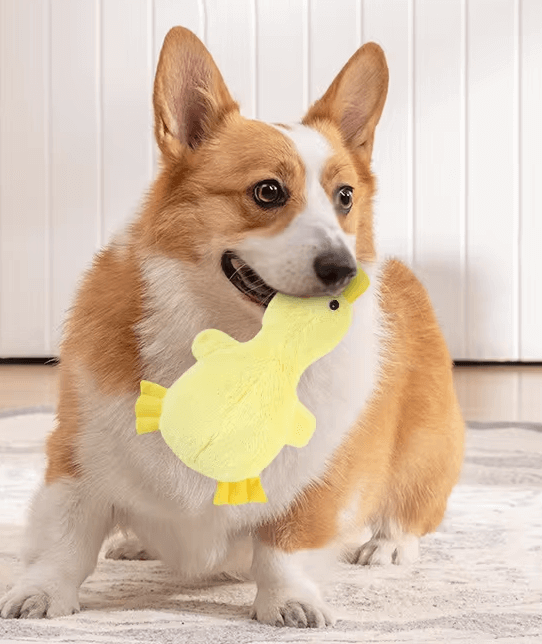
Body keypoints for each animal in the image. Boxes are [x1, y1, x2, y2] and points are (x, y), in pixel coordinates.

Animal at [1, 27, 468, 628]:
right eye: (268, 191)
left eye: (344, 197)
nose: (344, 271)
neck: (242, 350)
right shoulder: (77, 462)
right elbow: (65, 543)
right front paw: (40, 595)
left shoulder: (314, 481)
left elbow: (283, 549)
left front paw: (289, 603)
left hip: (424, 450)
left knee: (410, 510)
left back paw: (387, 545)